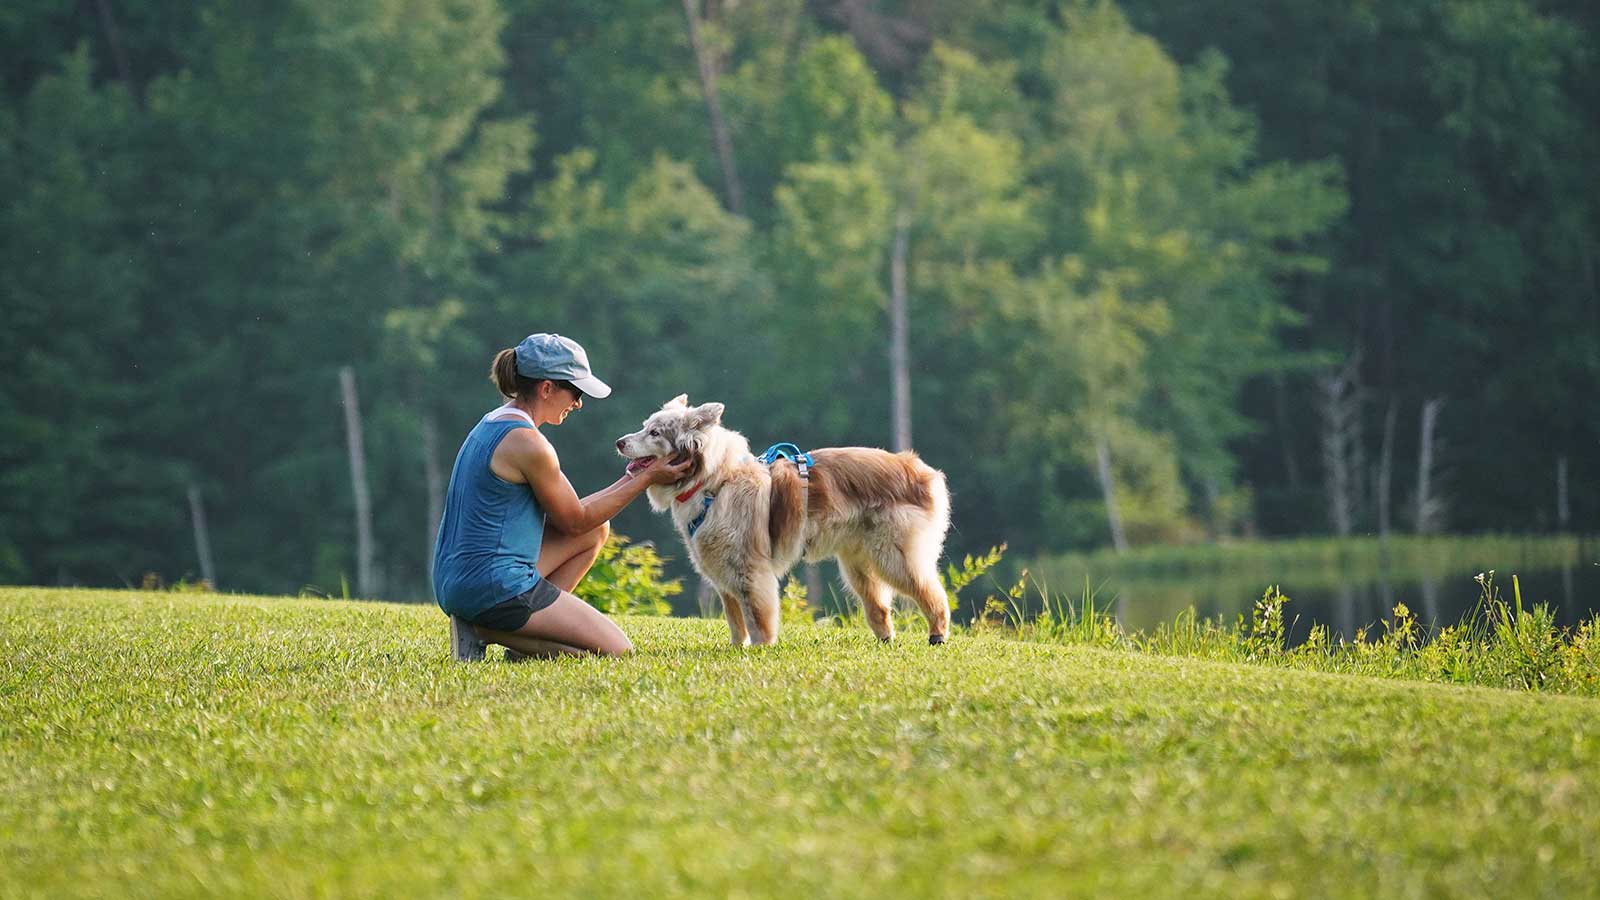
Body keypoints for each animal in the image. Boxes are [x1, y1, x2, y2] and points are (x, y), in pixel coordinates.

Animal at [614, 395, 947, 640]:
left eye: (655, 433)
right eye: (644, 427)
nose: (619, 442)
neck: (713, 483)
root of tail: (917, 468)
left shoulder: (749, 571)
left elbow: (756, 620)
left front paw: (760, 649)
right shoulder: (723, 575)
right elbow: (735, 621)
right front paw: (737, 648)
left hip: (893, 556)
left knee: (932, 592)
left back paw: (938, 633)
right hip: (858, 564)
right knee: (880, 607)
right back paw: (885, 638)